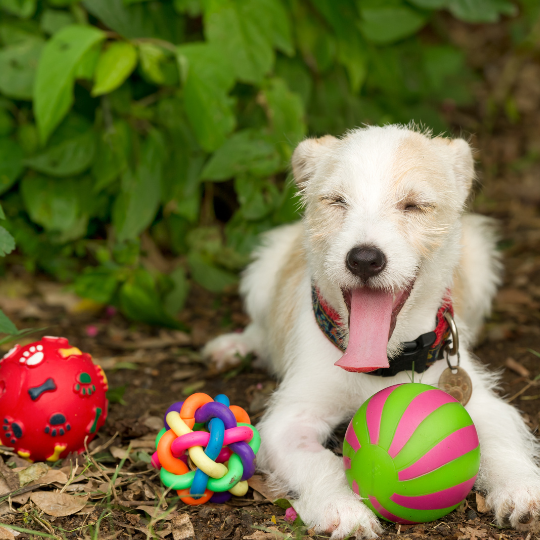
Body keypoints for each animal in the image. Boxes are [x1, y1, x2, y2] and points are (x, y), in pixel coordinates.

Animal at [202, 124, 540, 536]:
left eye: (413, 205)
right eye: (336, 201)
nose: (364, 259)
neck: (383, 362)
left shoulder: (482, 404)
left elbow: (504, 443)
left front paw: (522, 489)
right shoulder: (288, 422)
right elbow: (319, 463)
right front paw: (342, 509)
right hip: (263, 272)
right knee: (259, 329)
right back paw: (234, 346)